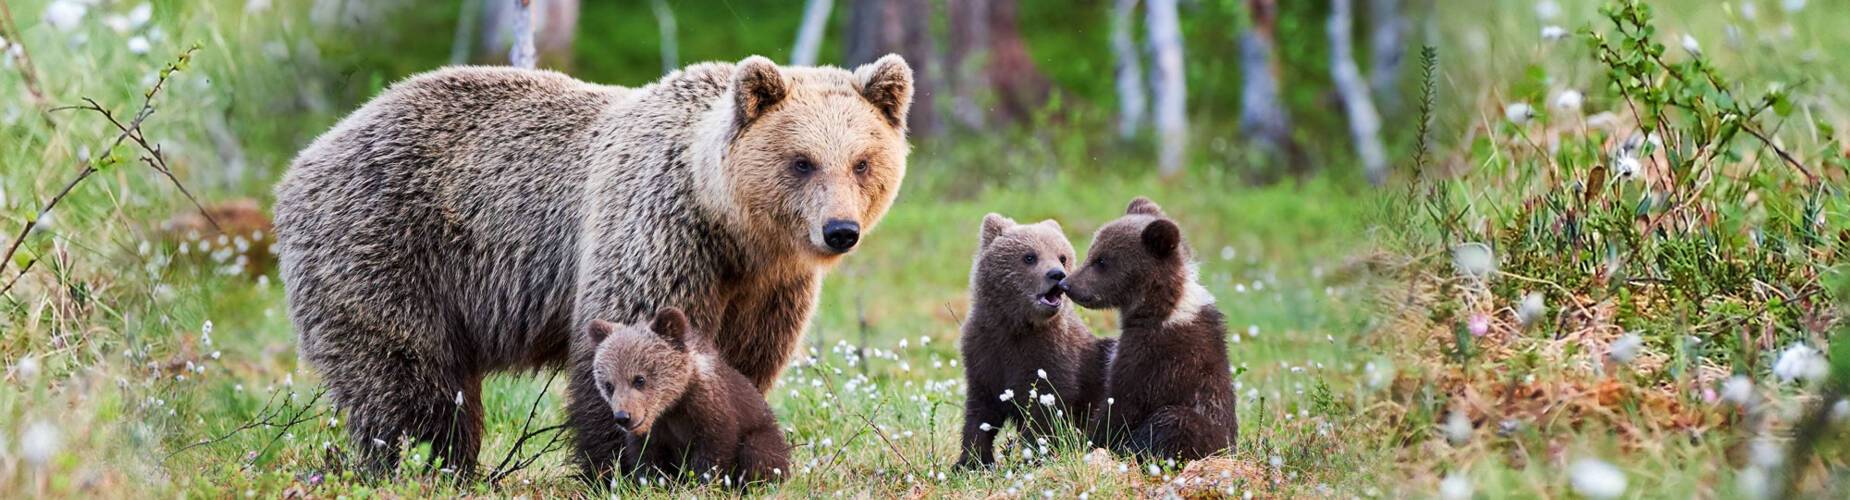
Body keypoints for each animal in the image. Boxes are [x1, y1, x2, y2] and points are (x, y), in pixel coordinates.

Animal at [587, 308, 789, 486]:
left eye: (639, 379)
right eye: (609, 385)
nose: (623, 416)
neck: (673, 405)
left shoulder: (712, 413)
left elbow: (713, 453)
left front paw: (704, 483)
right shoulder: (653, 434)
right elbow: (647, 461)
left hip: (765, 433)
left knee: (759, 451)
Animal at [956, 213, 1117, 469]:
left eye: (1062, 256)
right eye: (1029, 256)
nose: (1057, 274)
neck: (1017, 326)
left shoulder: (1052, 358)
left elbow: (1046, 413)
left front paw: (1031, 456)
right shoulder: (984, 354)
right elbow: (980, 410)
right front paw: (970, 461)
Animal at [1059, 197, 1238, 461]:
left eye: (1102, 260)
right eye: (1093, 252)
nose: (1066, 284)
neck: (1161, 309)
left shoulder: (1155, 358)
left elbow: (1122, 404)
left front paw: (1085, 441)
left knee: (1175, 421)